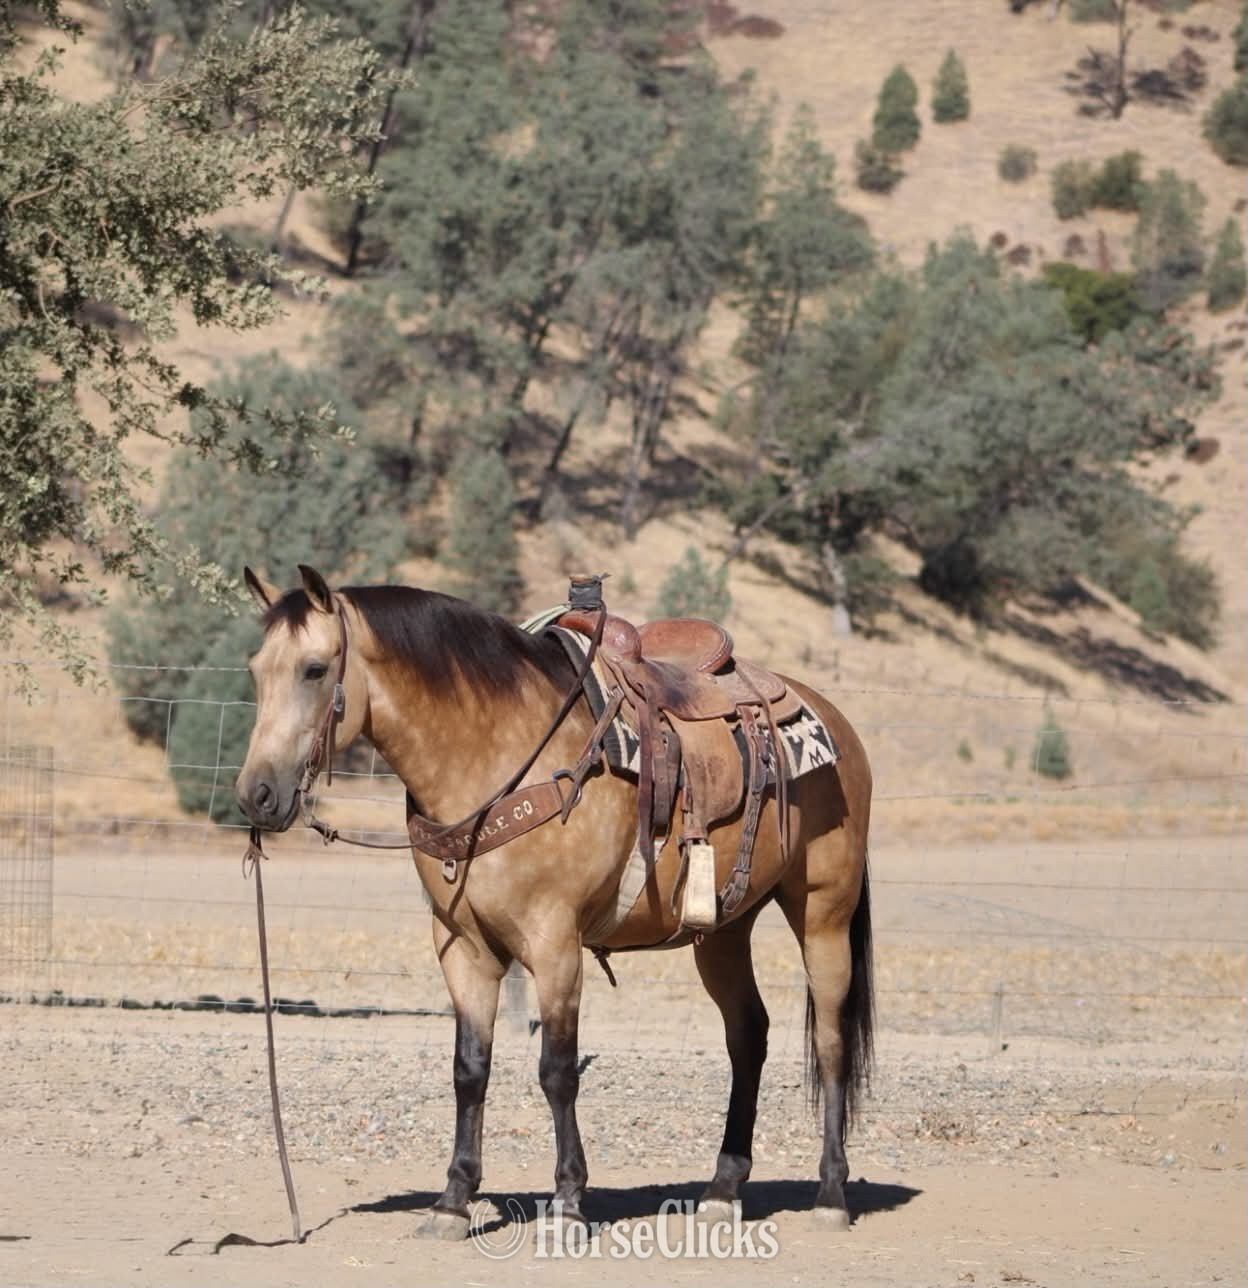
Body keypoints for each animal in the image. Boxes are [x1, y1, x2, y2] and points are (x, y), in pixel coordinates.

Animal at [235, 565, 874, 1239]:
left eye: (314, 669)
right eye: (256, 669)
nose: (257, 794)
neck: (493, 756)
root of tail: (835, 722)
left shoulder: (555, 944)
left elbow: (557, 1071)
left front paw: (567, 1200)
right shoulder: (462, 948)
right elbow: (470, 1069)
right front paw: (452, 1201)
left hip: (823, 915)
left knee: (830, 1041)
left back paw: (831, 1193)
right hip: (724, 929)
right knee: (748, 1034)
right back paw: (723, 1188)